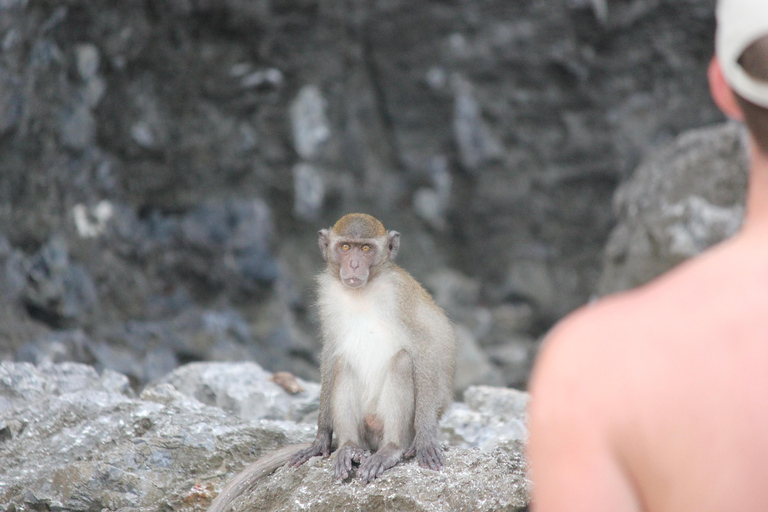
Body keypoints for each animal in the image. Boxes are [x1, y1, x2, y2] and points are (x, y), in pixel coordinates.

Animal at [207, 213, 452, 512]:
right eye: (346, 247)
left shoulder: (401, 294)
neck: (366, 290)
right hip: (363, 429)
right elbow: (331, 352)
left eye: (366, 248)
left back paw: (390, 450)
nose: (355, 265)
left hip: (396, 427)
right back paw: (347, 447)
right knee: (342, 364)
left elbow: (425, 348)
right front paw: (321, 437)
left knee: (402, 362)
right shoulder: (328, 295)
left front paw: (426, 437)